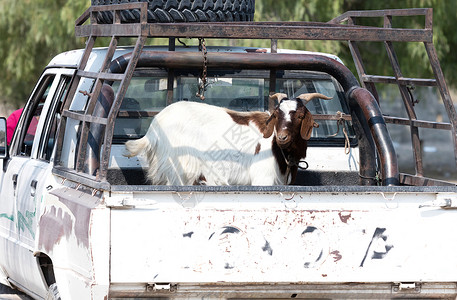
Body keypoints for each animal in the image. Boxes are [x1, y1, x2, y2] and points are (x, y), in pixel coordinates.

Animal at [124, 92, 332, 185]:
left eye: (300, 116)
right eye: (277, 114)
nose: (282, 137)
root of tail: (153, 129)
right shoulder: (262, 179)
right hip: (178, 168)